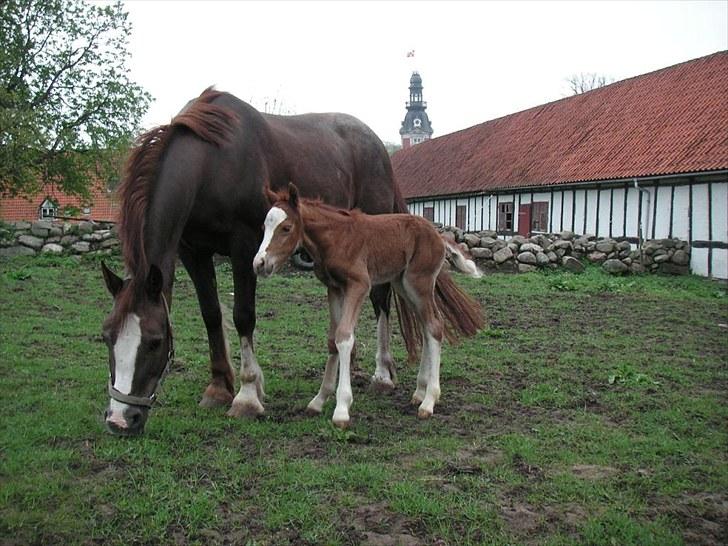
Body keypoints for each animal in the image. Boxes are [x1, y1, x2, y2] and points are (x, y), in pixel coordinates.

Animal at [101, 88, 410, 434]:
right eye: (107, 336)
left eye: (154, 342)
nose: (120, 420)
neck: (213, 162)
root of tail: (380, 148)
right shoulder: (192, 251)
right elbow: (211, 314)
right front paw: (219, 388)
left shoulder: (245, 245)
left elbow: (243, 316)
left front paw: (247, 396)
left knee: (380, 300)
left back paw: (382, 374)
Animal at [253, 182, 486, 424]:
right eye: (264, 226)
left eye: (286, 228)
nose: (259, 263)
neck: (335, 238)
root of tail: (437, 234)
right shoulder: (334, 288)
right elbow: (331, 340)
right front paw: (319, 400)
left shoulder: (359, 285)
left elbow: (344, 336)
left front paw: (342, 408)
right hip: (403, 285)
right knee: (425, 327)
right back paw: (419, 392)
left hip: (419, 283)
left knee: (434, 326)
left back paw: (429, 400)